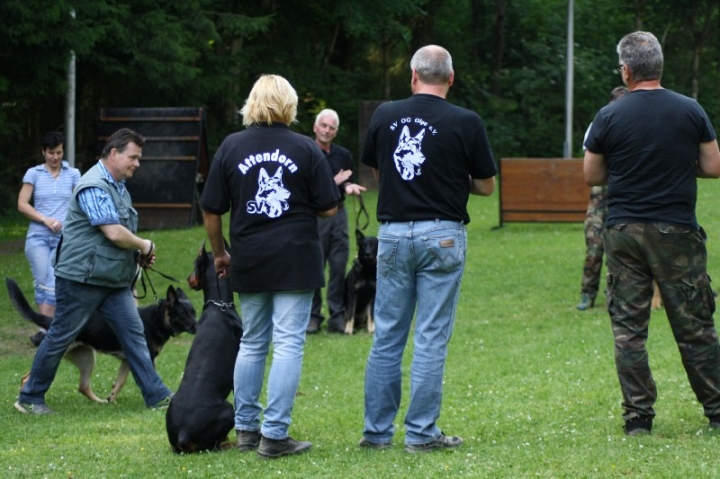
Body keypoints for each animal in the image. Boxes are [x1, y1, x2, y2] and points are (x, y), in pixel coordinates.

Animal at [5, 278, 198, 404]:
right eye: (184, 314)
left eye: (193, 312)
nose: (198, 326)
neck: (157, 319)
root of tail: (50, 320)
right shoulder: (146, 358)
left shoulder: (128, 361)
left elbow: (120, 382)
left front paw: (112, 399)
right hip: (59, 355)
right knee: (26, 378)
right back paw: (25, 401)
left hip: (87, 358)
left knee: (83, 386)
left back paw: (100, 402)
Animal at [165, 244, 242, 454]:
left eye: (194, 265)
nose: (189, 277)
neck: (219, 305)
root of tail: (183, 434)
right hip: (228, 410)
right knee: (213, 445)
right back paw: (229, 444)